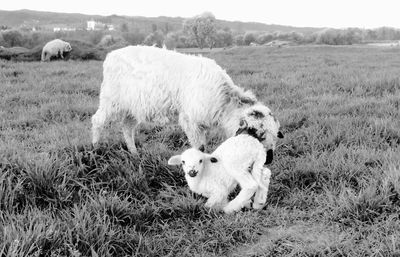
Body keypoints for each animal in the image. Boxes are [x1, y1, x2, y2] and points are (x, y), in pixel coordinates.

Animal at [92, 45, 282, 155]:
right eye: (259, 134)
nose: (269, 159)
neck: (225, 102)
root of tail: (111, 55)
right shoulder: (190, 119)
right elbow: (200, 148)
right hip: (111, 99)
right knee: (97, 120)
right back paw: (95, 149)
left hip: (134, 106)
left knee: (127, 127)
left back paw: (134, 154)